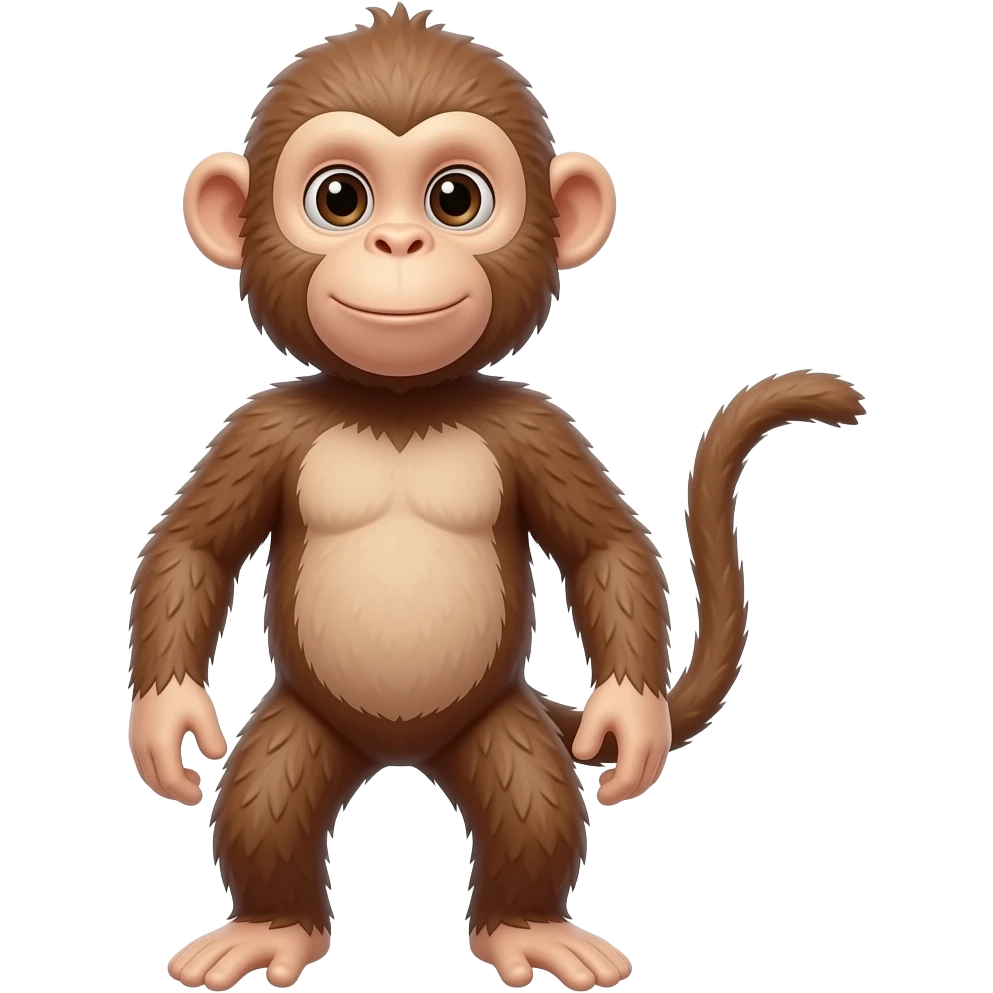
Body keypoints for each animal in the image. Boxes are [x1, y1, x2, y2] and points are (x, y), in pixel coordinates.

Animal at [127, 6, 868, 991]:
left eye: (455, 199)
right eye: (339, 199)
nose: (398, 245)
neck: (400, 406)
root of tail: (400, 749)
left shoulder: (534, 426)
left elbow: (602, 547)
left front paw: (630, 720)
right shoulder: (263, 426)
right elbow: (194, 548)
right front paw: (166, 720)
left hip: (496, 722)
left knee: (532, 795)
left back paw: (526, 927)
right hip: (304, 718)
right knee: (266, 793)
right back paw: (271, 927)